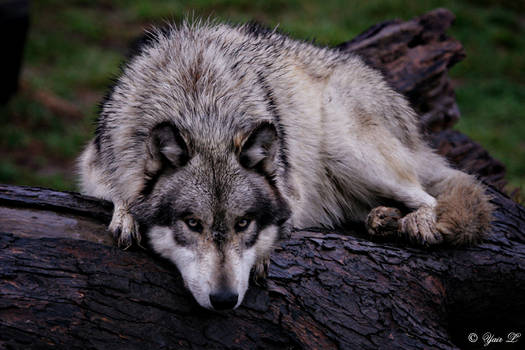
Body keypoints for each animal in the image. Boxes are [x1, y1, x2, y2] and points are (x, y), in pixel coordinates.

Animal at [77, 19, 492, 308]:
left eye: (243, 223)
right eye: (192, 224)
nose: (224, 300)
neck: (202, 107)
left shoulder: (290, 190)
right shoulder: (94, 164)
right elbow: (118, 189)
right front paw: (125, 215)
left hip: (349, 148)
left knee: (429, 198)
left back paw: (416, 223)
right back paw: (384, 219)